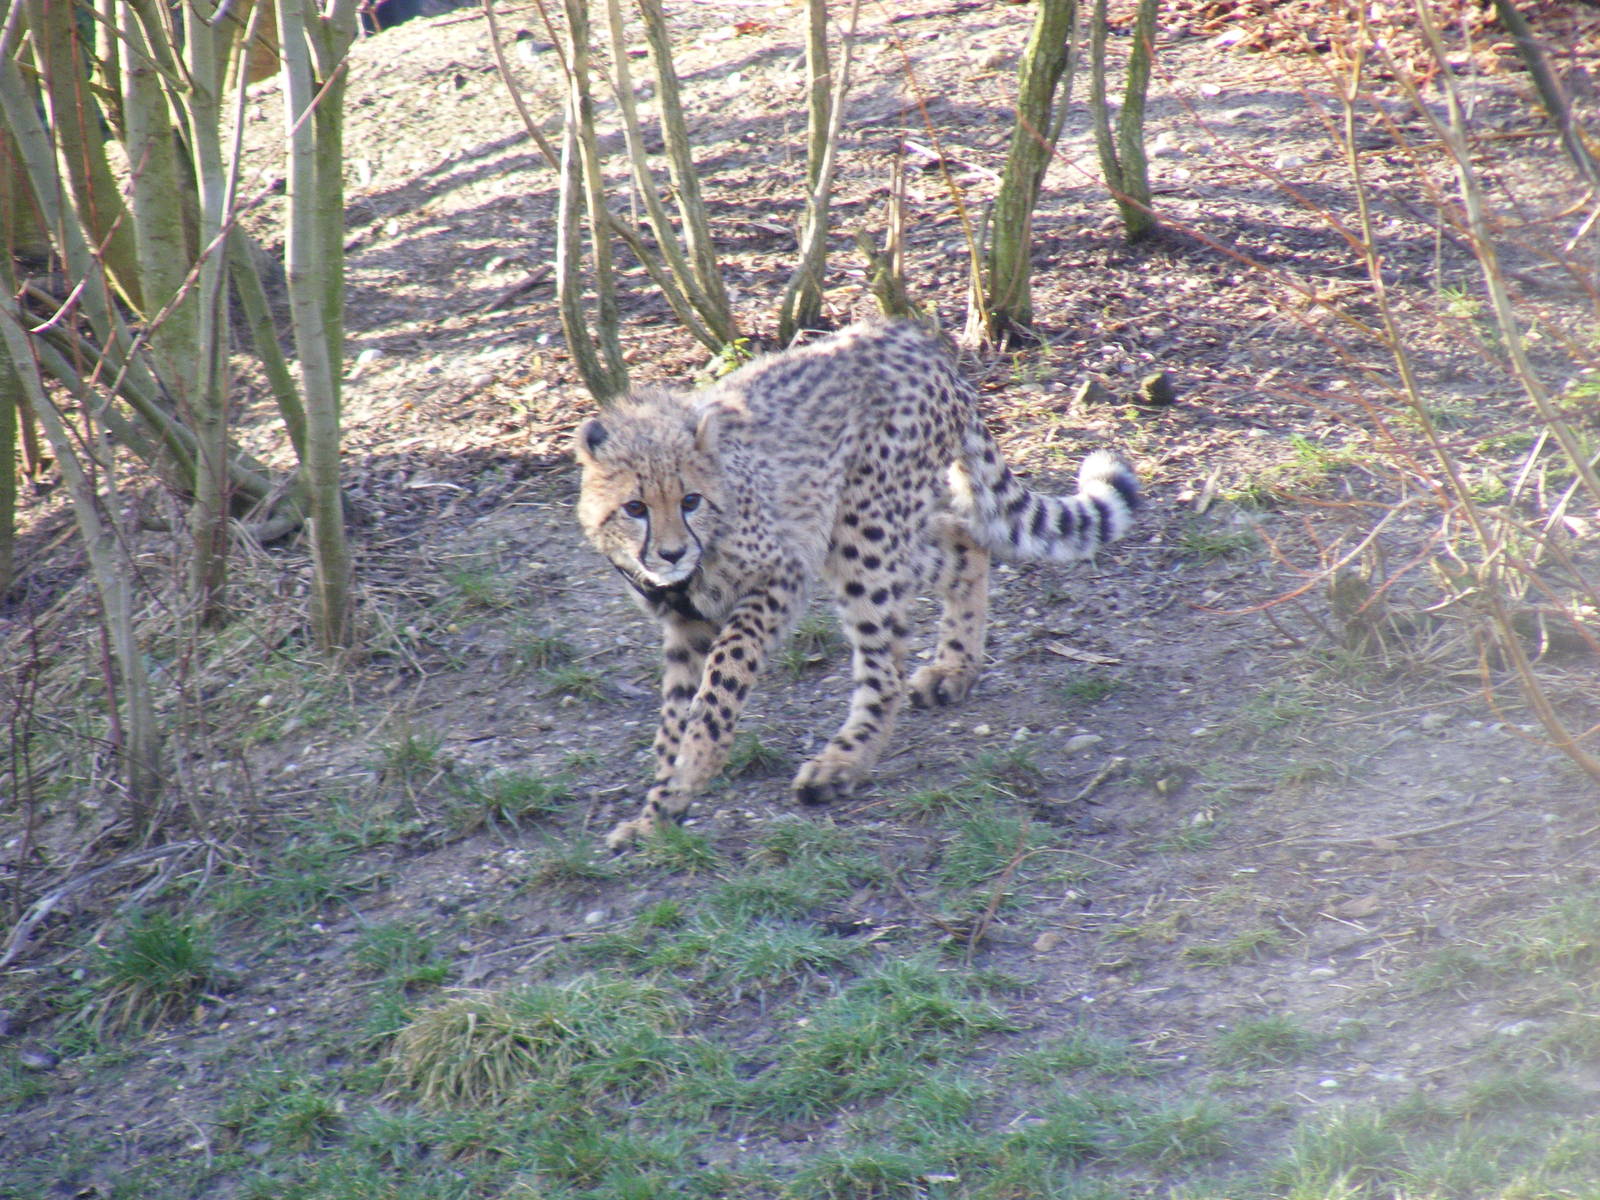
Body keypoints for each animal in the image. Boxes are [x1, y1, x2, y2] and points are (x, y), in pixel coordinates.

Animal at [573, 320, 1141, 849]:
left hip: (857, 534)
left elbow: (722, 678)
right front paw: (659, 811)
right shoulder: (684, 623)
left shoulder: (782, 575)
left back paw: (842, 762)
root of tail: (907, 337)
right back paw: (955, 667)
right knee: (963, 543)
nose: (671, 553)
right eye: (635, 508)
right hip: (871, 528)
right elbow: (673, 716)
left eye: (690, 500)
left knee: (886, 663)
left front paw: (696, 763)